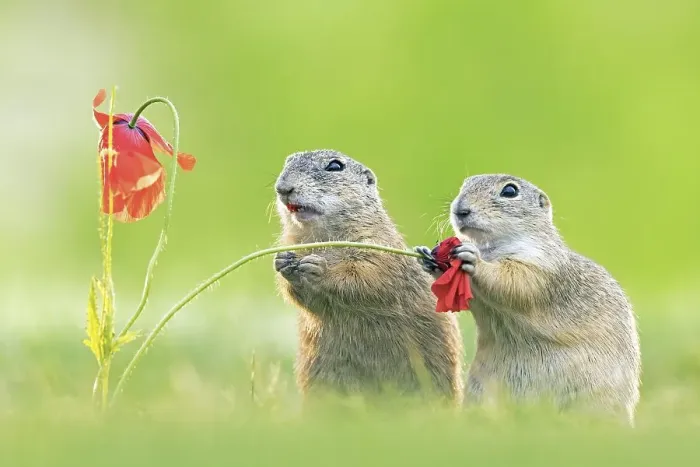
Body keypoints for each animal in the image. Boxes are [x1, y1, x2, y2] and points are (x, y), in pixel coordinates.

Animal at [273, 149, 464, 405]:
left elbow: (365, 275)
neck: (321, 237)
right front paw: (283, 262)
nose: (282, 188)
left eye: (335, 166)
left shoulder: (377, 245)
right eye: (287, 161)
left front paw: (318, 267)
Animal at [416, 174, 641, 424]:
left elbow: (513, 281)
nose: (460, 209)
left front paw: (473, 259)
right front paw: (428, 256)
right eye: (464, 185)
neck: (492, 248)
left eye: (510, 191)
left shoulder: (541, 266)